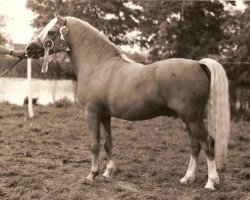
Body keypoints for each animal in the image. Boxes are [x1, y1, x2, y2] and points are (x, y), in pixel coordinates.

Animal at [25, 12, 230, 191]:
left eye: (51, 32)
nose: (29, 49)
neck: (98, 66)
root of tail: (198, 64)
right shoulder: (105, 115)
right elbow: (108, 143)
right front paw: (108, 172)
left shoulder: (92, 114)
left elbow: (95, 145)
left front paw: (92, 174)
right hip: (188, 119)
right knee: (195, 145)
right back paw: (187, 178)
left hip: (193, 118)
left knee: (208, 143)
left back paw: (211, 182)